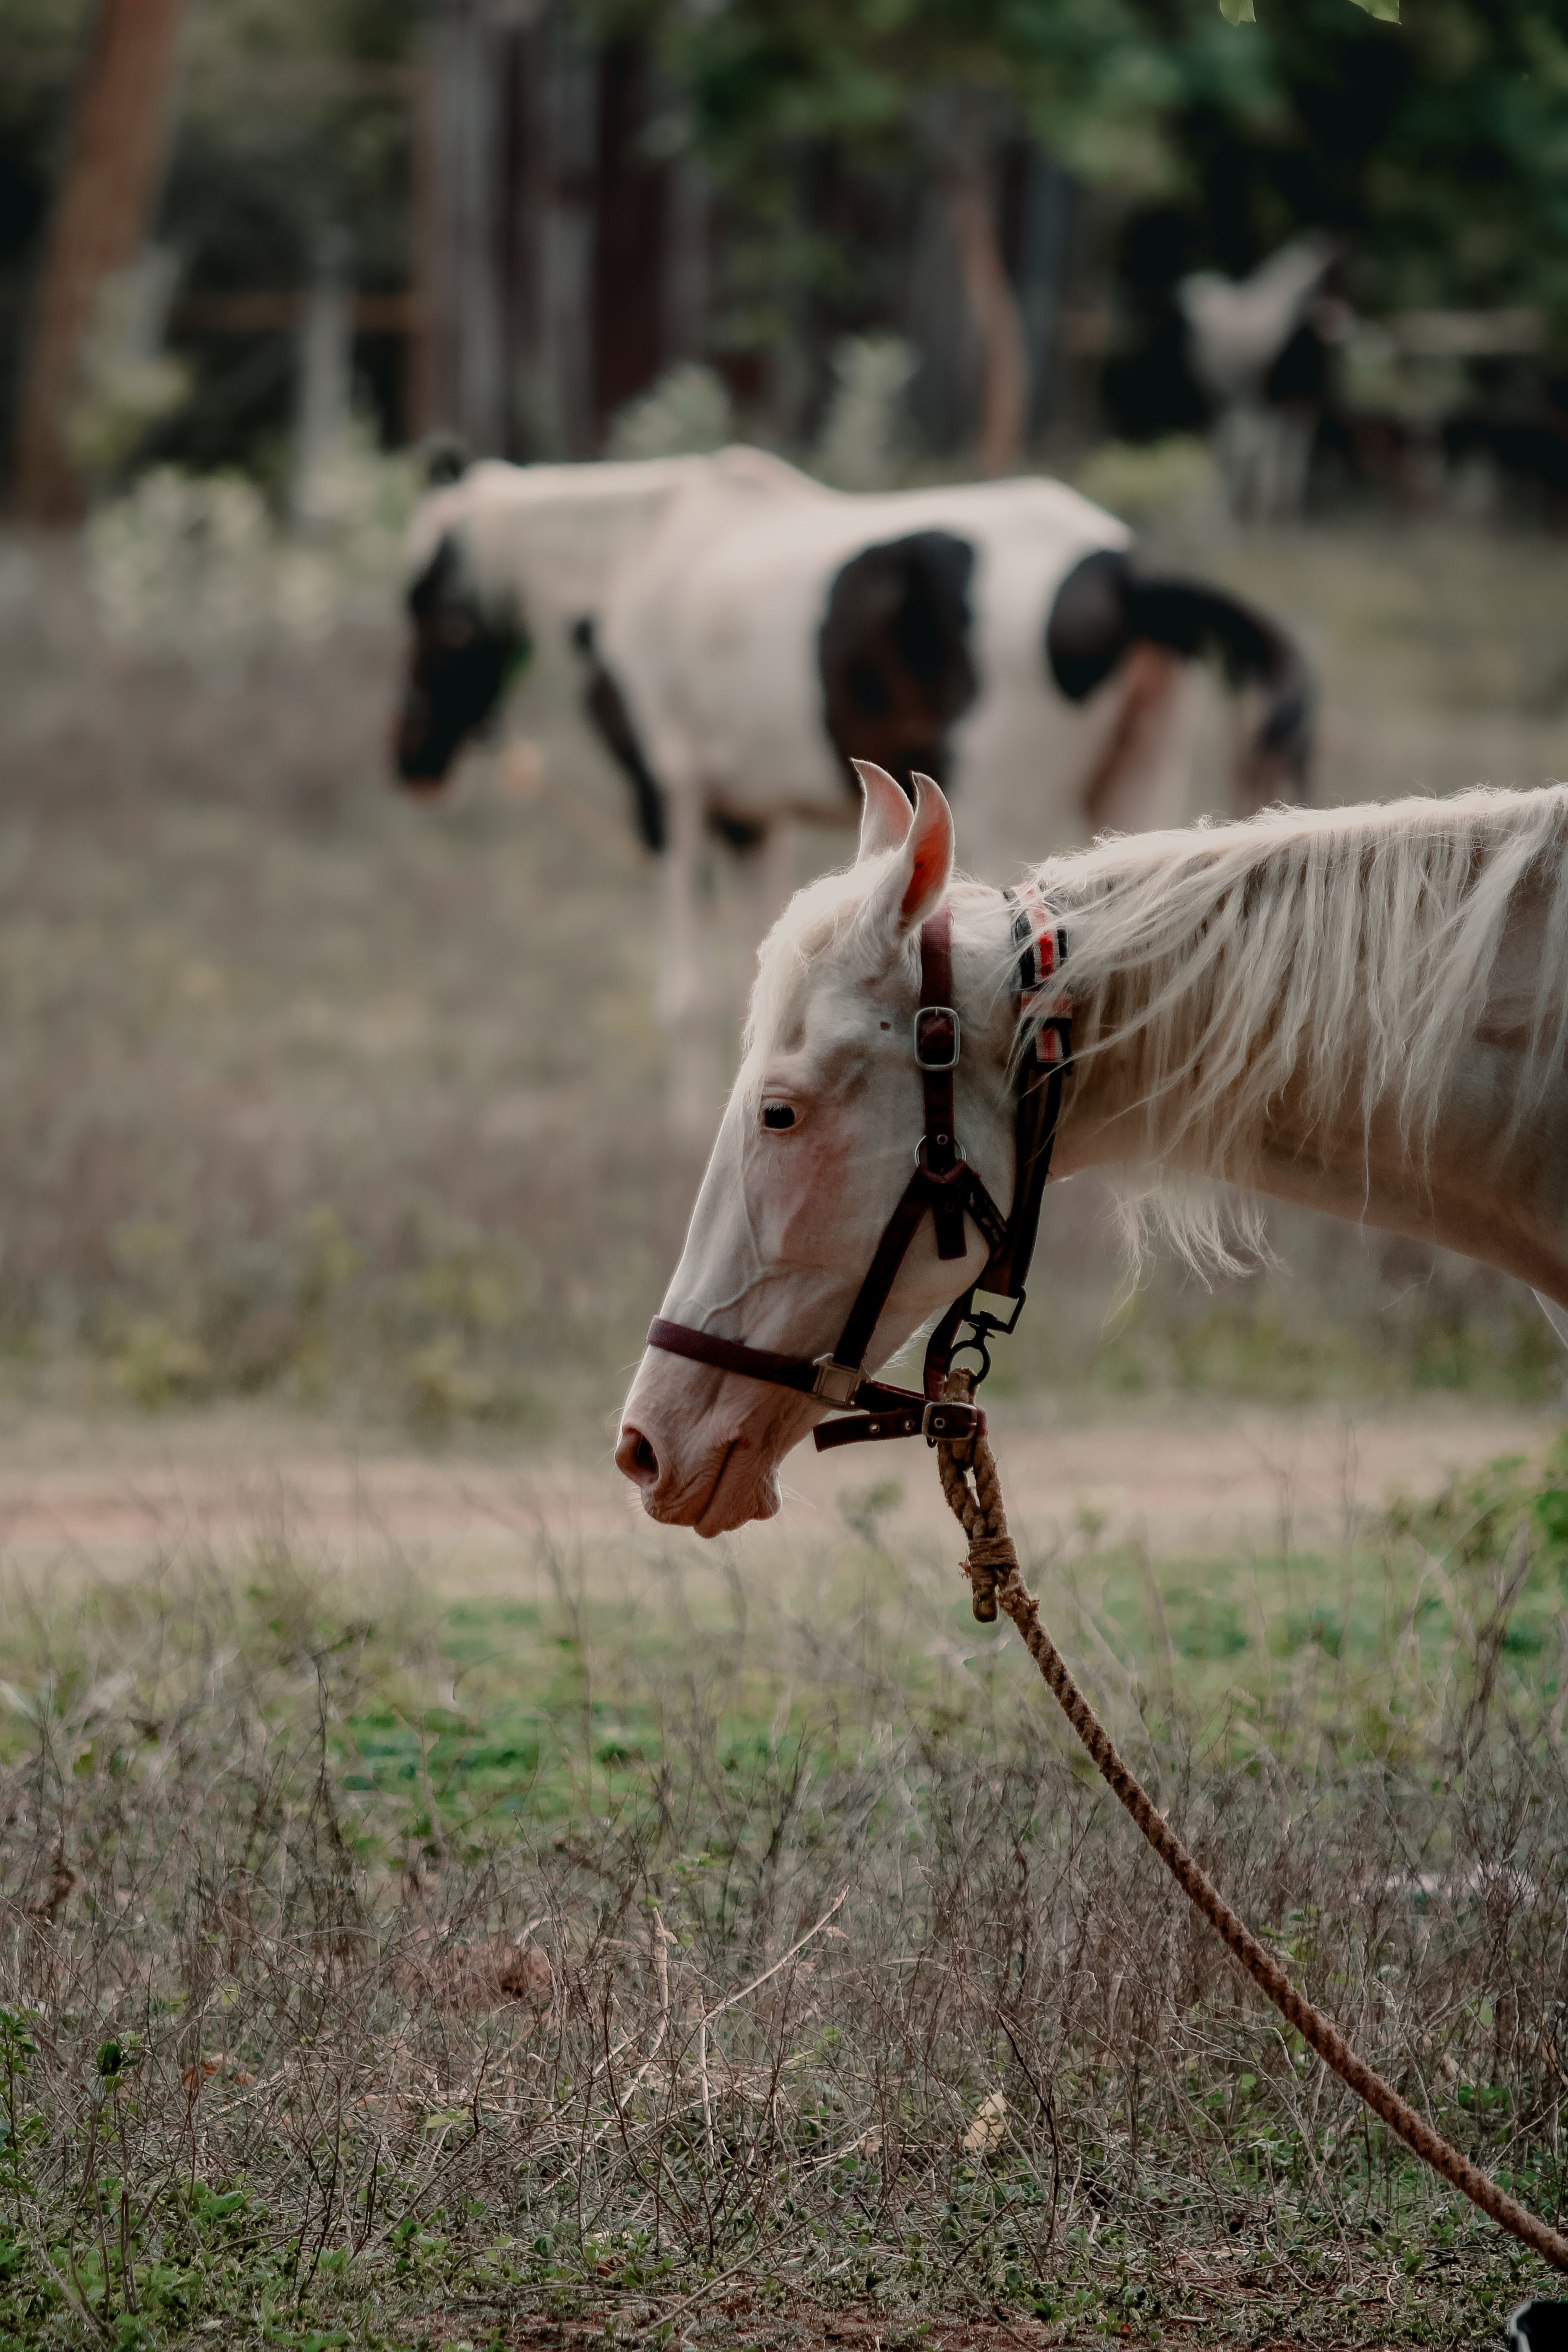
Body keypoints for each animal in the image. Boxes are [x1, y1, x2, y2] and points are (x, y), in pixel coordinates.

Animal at [389, 448, 1314, 1132]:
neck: (640, 553)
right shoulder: (748, 818)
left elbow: (687, 995)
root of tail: (1126, 577)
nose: (412, 764)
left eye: (430, 605)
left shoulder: (670, 799)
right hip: (1133, 801)